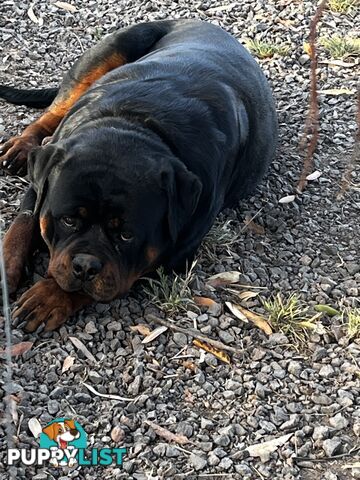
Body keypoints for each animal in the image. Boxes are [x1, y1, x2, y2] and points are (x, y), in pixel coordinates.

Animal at [0, 20, 278, 332]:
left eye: (126, 235)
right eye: (68, 220)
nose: (85, 266)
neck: (135, 122)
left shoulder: (174, 252)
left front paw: (50, 296)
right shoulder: (43, 180)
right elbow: (22, 225)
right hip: (105, 55)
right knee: (53, 111)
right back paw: (22, 146)